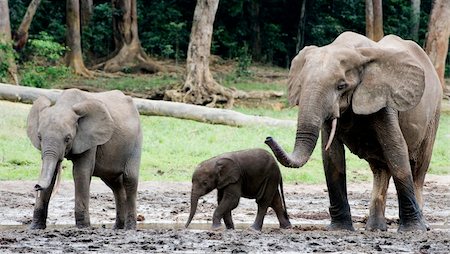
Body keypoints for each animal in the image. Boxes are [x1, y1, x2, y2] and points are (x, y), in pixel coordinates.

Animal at [26, 88, 142, 229]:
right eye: (39, 137)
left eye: (68, 138)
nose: (36, 186)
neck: (65, 105)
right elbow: (51, 174)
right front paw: (35, 228)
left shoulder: (90, 139)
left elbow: (80, 172)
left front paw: (83, 227)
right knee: (115, 184)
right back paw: (117, 228)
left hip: (136, 140)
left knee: (129, 179)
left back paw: (129, 228)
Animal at [266, 31, 442, 232]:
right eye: (301, 85)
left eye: (341, 86)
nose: (268, 138)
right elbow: (332, 156)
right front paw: (340, 229)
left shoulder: (384, 99)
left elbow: (396, 148)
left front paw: (412, 230)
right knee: (380, 169)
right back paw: (375, 228)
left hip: (434, 113)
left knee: (418, 168)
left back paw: (420, 226)